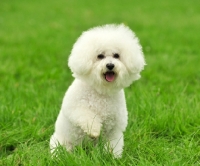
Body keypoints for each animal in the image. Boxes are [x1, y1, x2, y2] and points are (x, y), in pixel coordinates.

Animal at [49, 24, 145, 158]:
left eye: (116, 55)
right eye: (100, 56)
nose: (110, 65)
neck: (102, 91)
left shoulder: (114, 129)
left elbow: (112, 145)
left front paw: (111, 157)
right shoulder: (75, 107)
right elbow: (87, 116)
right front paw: (94, 130)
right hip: (61, 142)